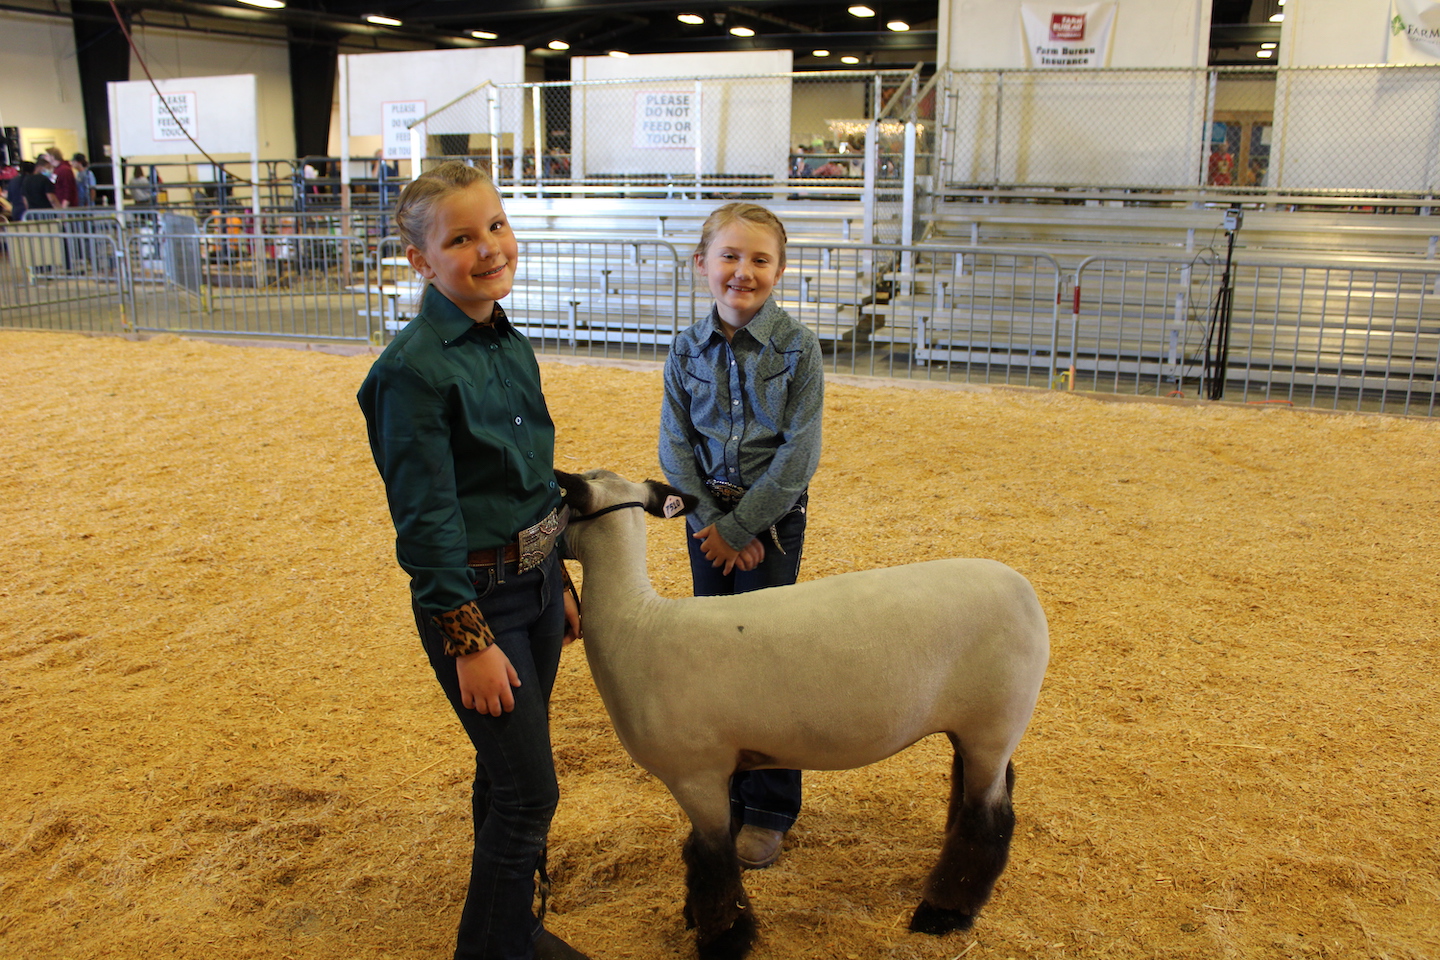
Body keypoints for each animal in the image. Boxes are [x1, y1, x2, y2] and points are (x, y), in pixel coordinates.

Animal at [558, 472, 1048, 960]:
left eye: (562, 501)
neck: (637, 626)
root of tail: (1026, 592)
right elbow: (698, 853)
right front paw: (696, 917)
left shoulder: (697, 774)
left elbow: (713, 861)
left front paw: (725, 937)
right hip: (975, 727)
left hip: (994, 724)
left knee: (988, 820)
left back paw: (943, 912)